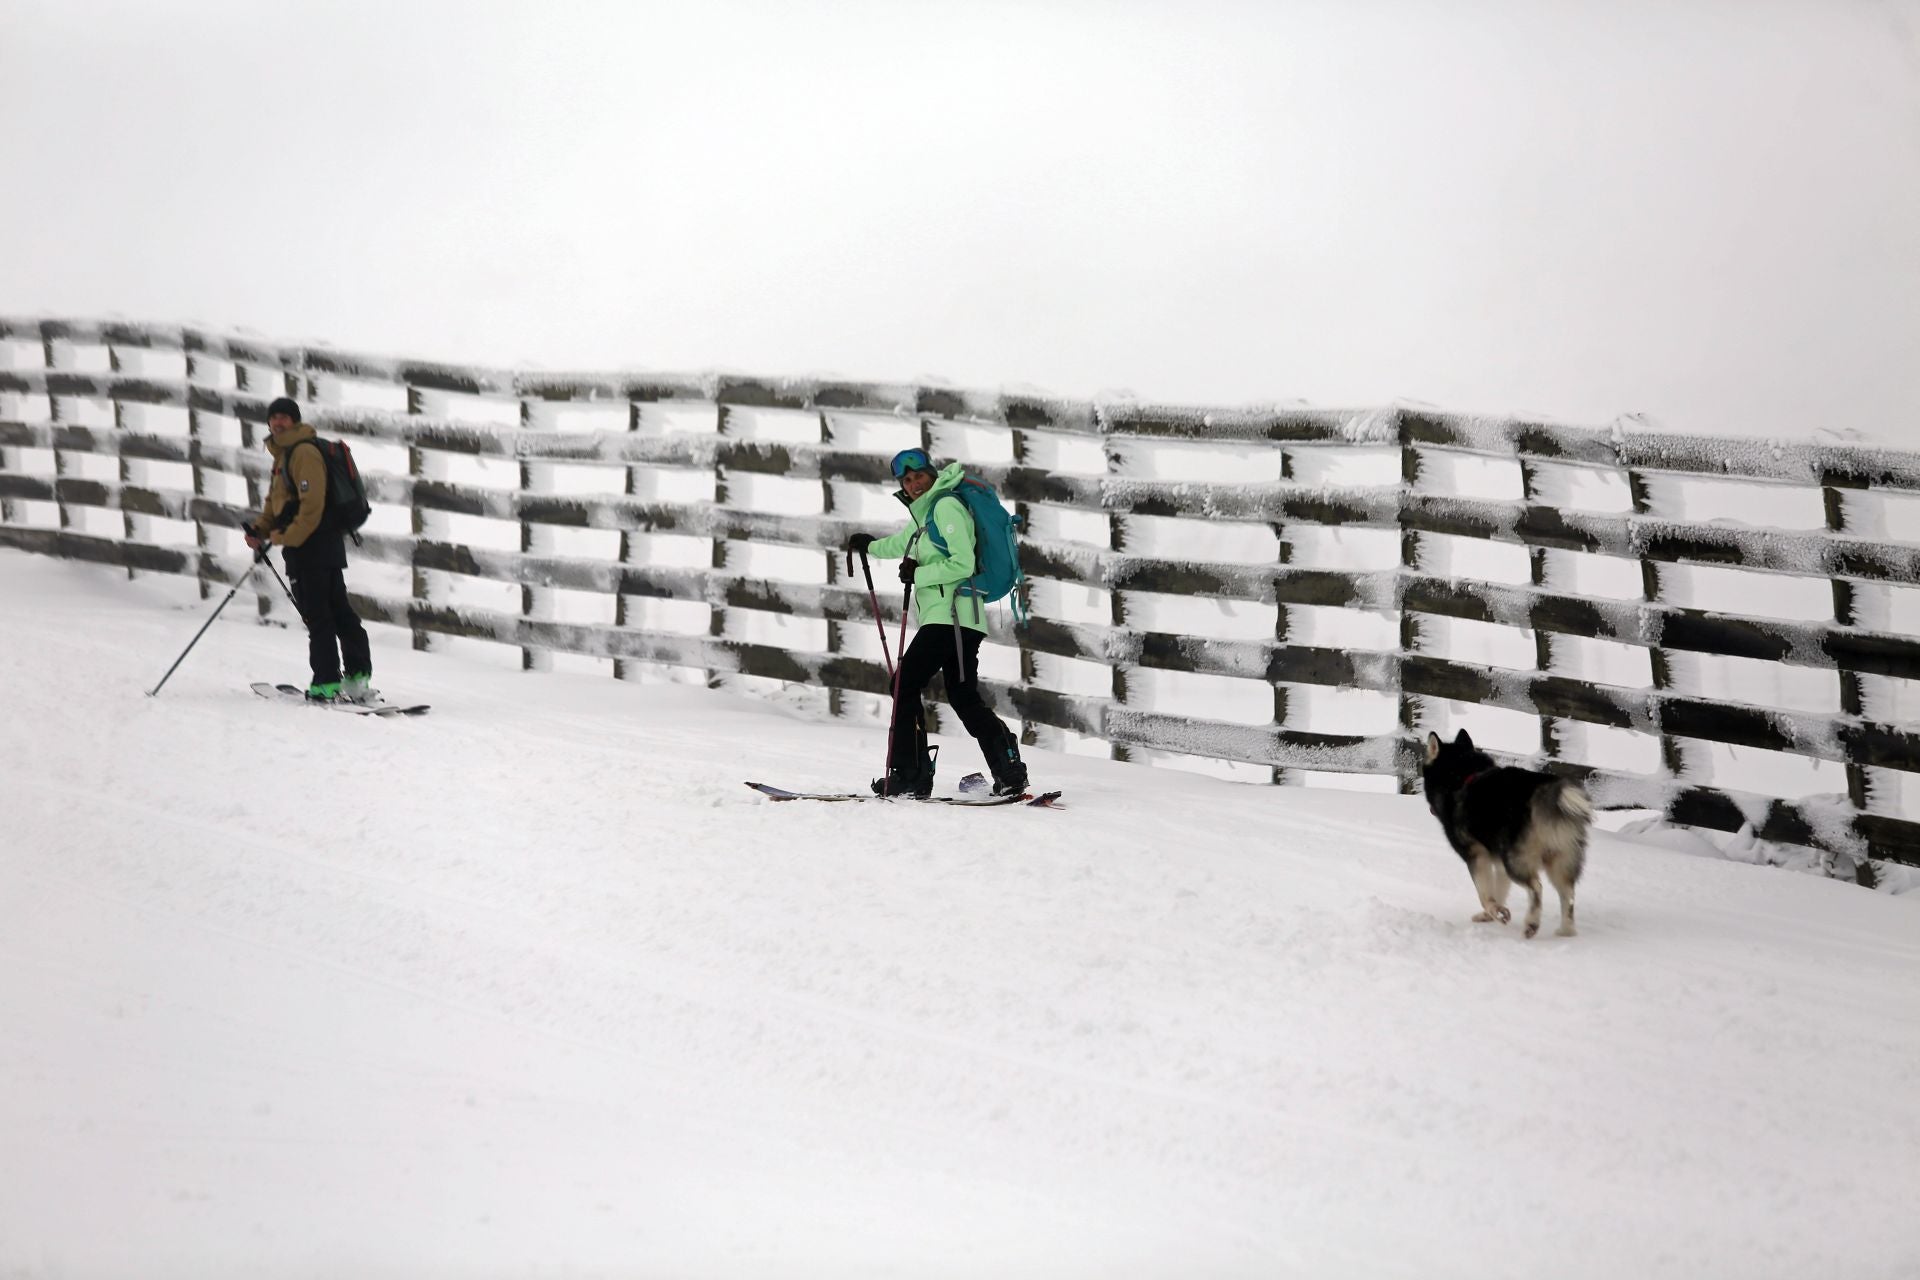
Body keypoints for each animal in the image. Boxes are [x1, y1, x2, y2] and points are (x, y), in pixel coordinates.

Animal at [1420, 729, 1597, 940]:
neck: (1462, 777)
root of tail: (1542, 790)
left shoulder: (1476, 855)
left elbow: (1485, 894)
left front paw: (1495, 911)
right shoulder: (1498, 863)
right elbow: (1498, 890)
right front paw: (1492, 915)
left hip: (1516, 860)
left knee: (1536, 887)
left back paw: (1531, 924)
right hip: (1559, 858)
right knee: (1568, 894)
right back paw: (1566, 931)